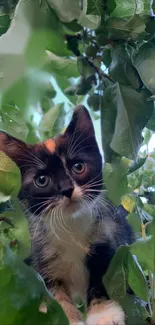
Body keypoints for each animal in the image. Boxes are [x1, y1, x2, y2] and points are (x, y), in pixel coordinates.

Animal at [0, 105, 134, 324]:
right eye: (42, 180)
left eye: (78, 167)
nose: (67, 189)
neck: (70, 226)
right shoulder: (43, 260)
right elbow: (55, 297)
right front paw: (71, 318)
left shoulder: (109, 240)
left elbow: (102, 280)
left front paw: (104, 314)